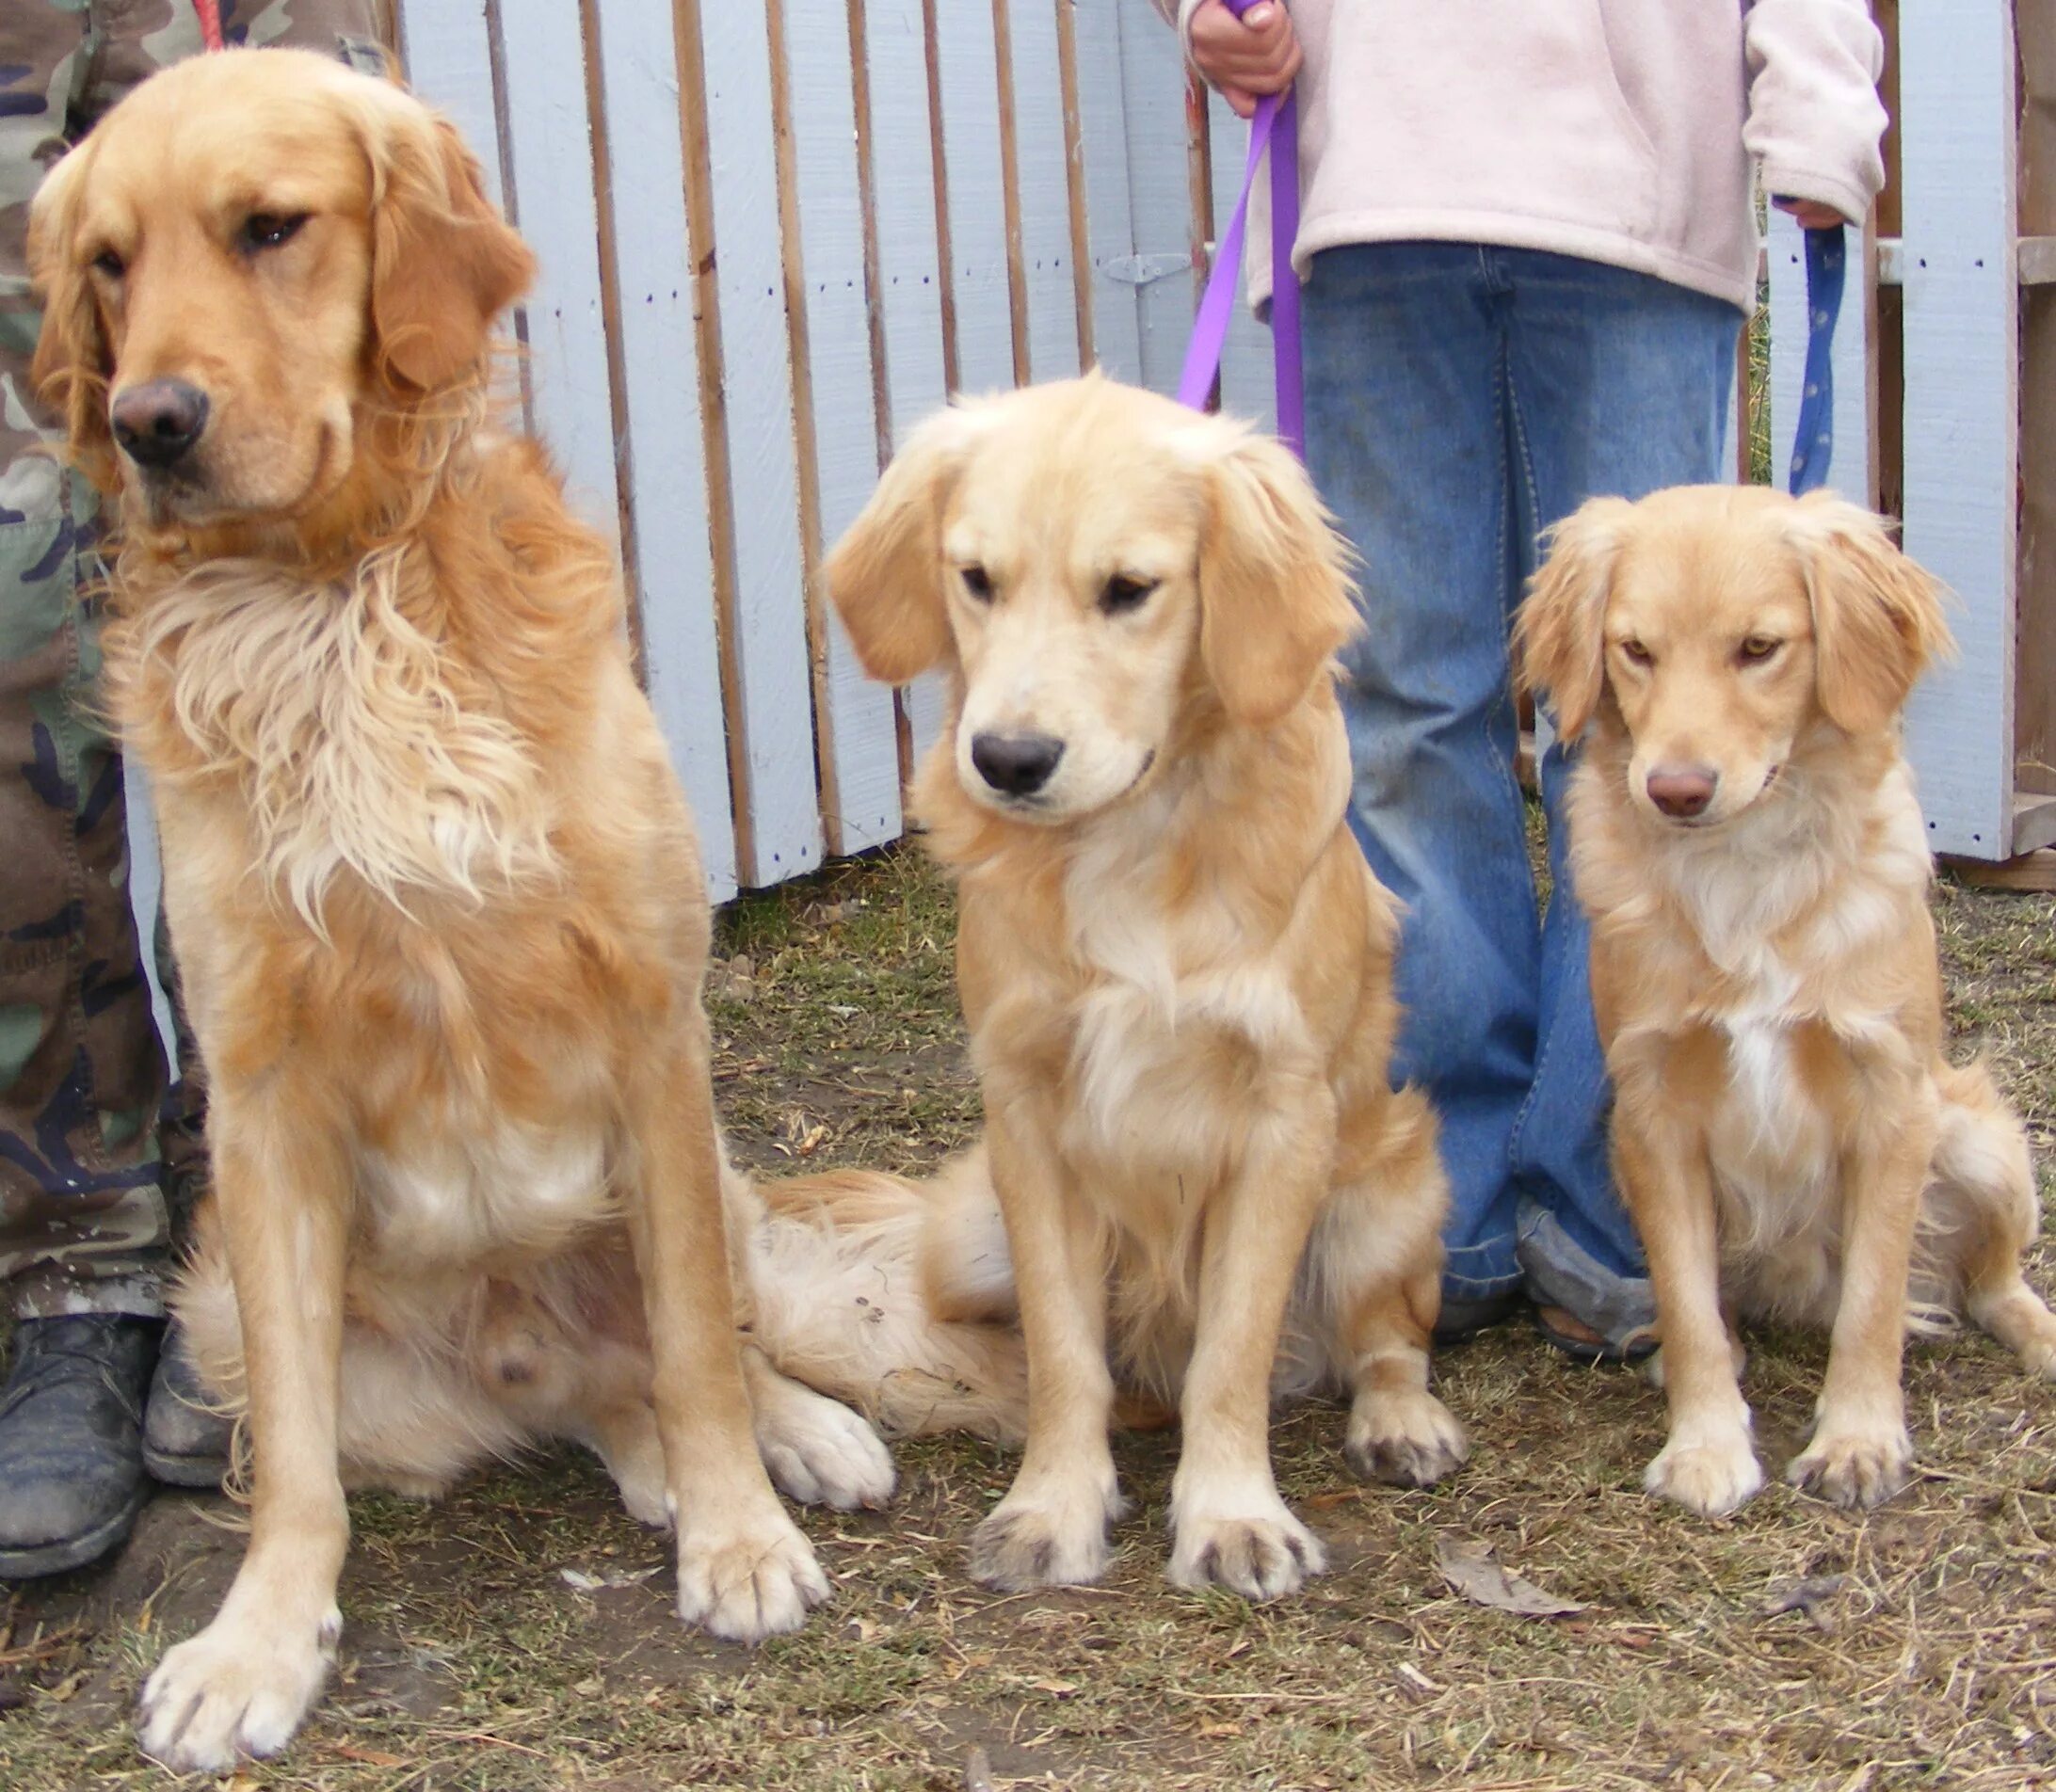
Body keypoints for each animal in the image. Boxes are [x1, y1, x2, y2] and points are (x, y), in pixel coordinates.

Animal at [29, 49, 1020, 1767]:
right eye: (108, 262)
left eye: (270, 226)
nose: (152, 421)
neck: (334, 597)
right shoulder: (259, 1093)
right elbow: (295, 1468)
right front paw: (258, 1643)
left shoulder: (649, 1016)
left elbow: (694, 1342)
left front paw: (741, 1532)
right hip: (215, 1303)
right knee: (580, 1399)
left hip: (714, 1177)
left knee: (693, 1345)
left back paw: (797, 1440)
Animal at [818, 374, 1464, 1594]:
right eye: (976, 578)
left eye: (1129, 590)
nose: (1008, 759)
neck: (1133, 831)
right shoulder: (1027, 1112)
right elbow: (1065, 1350)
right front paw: (1053, 1501)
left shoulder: (1283, 1120)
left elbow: (1234, 1350)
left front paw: (1233, 1513)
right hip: (967, 1235)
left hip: (1387, 1191)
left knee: (1386, 1335)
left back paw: (1401, 1418)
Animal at [1513, 483, 2056, 1520]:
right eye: (1635, 649)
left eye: (1759, 648)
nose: (1676, 789)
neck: (1745, 867)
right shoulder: (1653, 1116)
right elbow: (1688, 1304)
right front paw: (1706, 1442)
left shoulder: (1892, 1103)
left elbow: (1874, 1301)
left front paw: (1858, 1440)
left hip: (1979, 1137)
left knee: (1991, 1281)